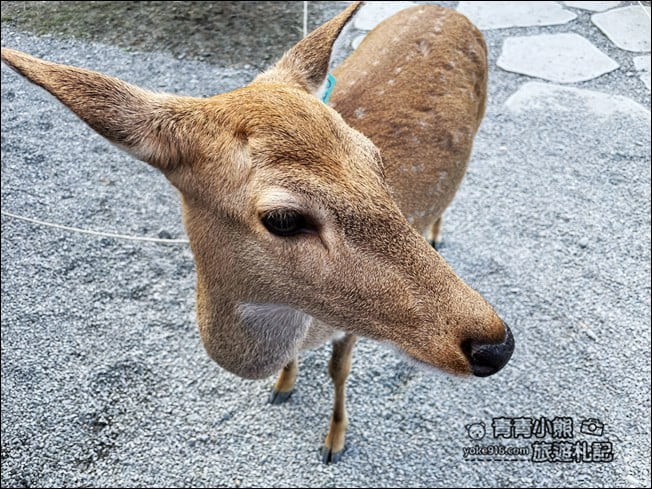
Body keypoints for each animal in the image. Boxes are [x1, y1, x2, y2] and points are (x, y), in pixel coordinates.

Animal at [1, 2, 514, 464]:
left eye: (375, 160)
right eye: (283, 219)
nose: (497, 345)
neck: (304, 330)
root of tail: (451, 11)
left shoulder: (347, 329)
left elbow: (339, 370)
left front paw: (333, 442)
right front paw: (283, 386)